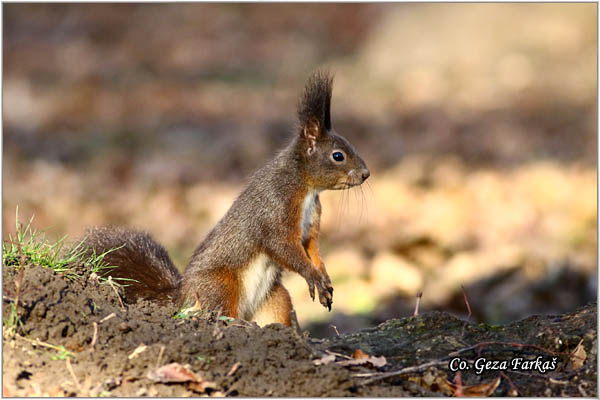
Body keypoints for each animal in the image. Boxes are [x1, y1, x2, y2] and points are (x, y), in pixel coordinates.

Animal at [79, 72, 370, 328]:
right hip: (223, 285)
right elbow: (284, 247)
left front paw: (324, 280)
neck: (306, 188)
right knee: (222, 310)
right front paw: (313, 277)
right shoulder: (276, 209)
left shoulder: (309, 225)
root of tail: (182, 297)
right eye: (338, 156)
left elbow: (312, 248)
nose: (366, 174)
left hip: (275, 298)